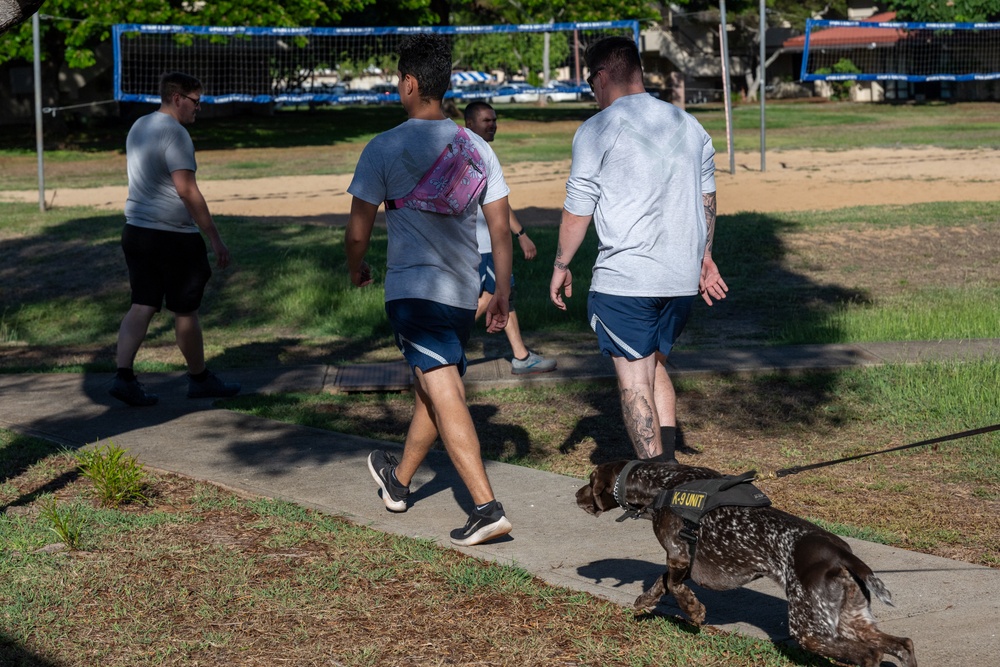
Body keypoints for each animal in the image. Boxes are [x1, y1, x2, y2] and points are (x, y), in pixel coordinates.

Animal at [580, 462, 916, 667]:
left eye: (590, 480)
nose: (576, 495)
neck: (661, 485)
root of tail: (841, 554)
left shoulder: (678, 553)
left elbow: (673, 584)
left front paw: (693, 610)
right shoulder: (685, 559)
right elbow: (662, 582)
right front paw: (645, 601)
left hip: (809, 628)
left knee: (871, 655)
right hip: (851, 620)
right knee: (903, 644)